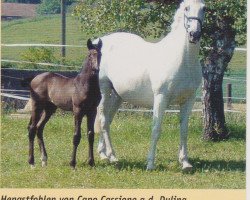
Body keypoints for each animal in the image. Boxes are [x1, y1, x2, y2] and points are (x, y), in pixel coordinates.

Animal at [22, 39, 102, 169]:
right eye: (90, 55)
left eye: (100, 54)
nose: (96, 69)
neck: (84, 85)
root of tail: (34, 78)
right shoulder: (78, 111)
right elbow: (76, 136)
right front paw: (72, 164)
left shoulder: (92, 111)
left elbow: (91, 135)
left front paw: (91, 163)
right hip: (37, 106)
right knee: (32, 129)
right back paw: (32, 162)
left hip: (49, 109)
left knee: (39, 128)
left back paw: (44, 160)